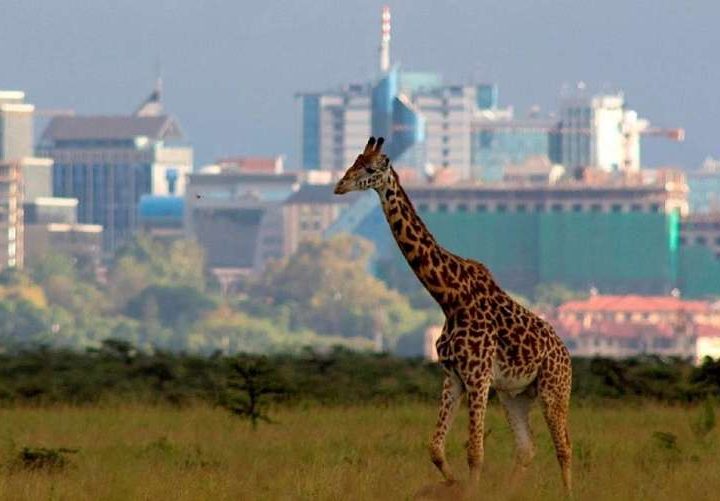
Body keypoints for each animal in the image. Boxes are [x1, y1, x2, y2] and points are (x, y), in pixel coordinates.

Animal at [334, 137, 572, 492]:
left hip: (553, 389)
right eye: (354, 161)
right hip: (514, 395)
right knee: (526, 449)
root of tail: (567, 356)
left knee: (564, 448)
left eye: (370, 168)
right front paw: (453, 483)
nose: (340, 185)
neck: (449, 298)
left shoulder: (478, 375)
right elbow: (435, 448)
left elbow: (475, 451)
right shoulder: (453, 376)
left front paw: (468, 489)